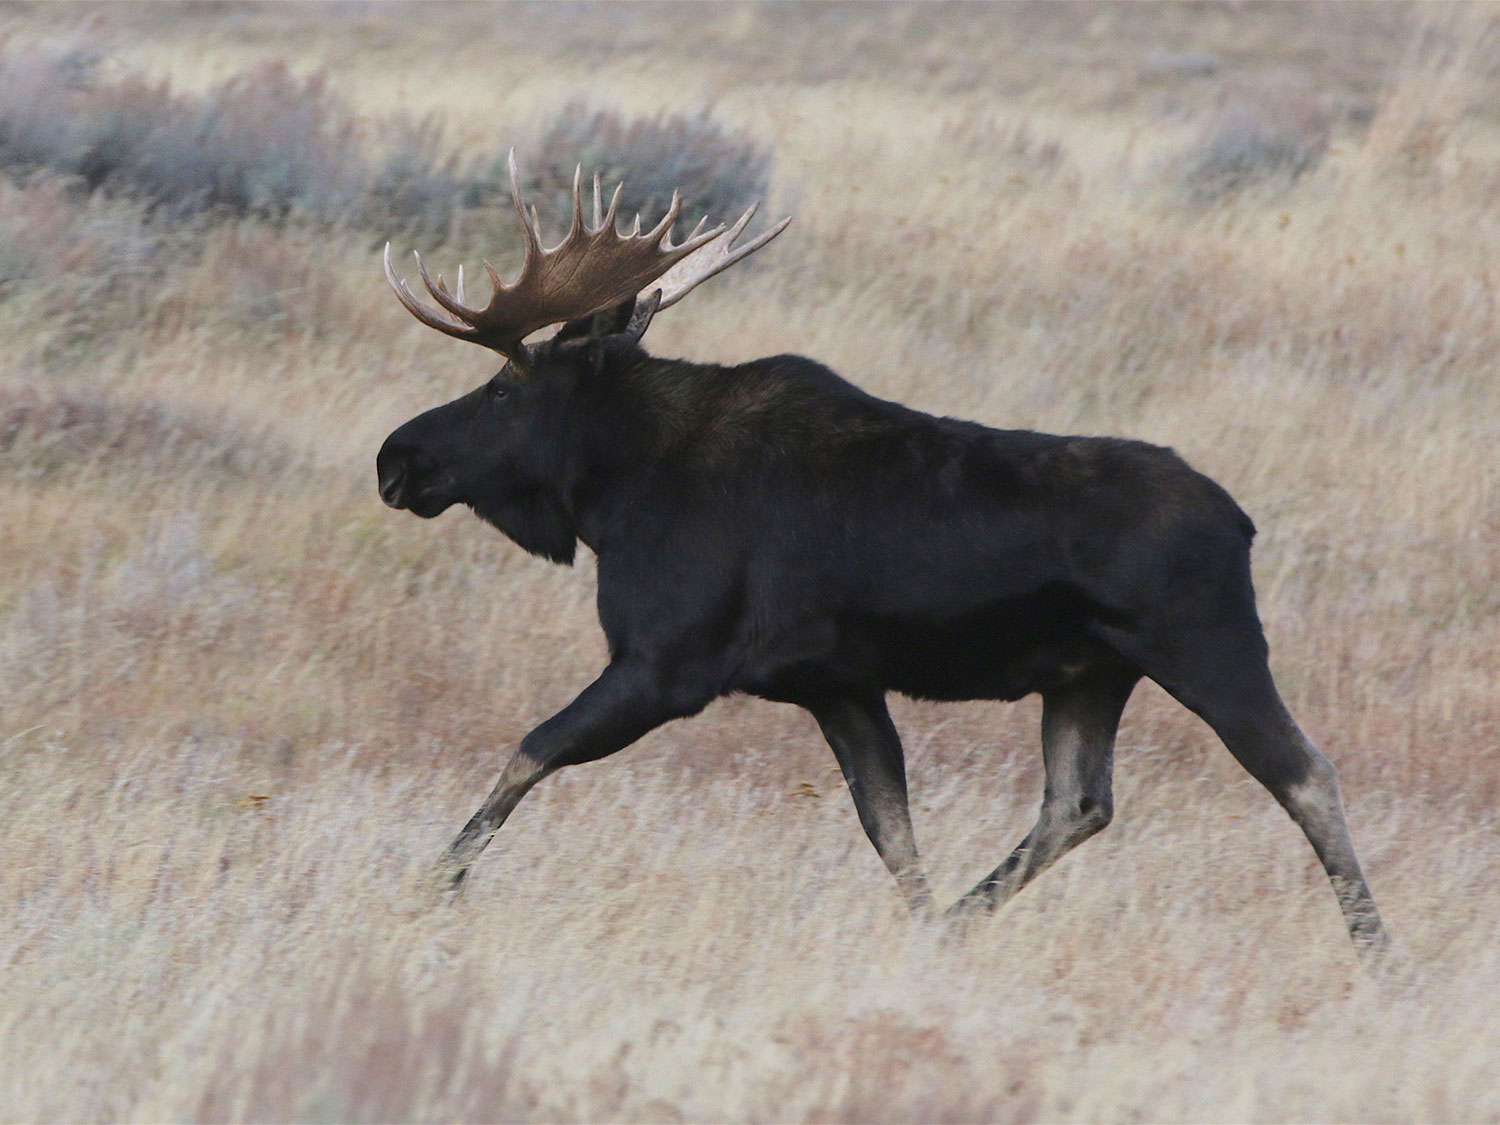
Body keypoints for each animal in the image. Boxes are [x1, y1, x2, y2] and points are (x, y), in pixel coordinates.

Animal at [381, 154, 1386, 954]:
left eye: (505, 387)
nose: (397, 457)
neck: (612, 491)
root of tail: (1242, 524)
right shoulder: (837, 683)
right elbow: (892, 828)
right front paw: (922, 927)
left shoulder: (668, 663)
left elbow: (528, 751)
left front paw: (431, 887)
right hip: (1090, 674)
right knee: (1077, 802)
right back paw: (962, 922)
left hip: (1206, 646)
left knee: (1307, 774)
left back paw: (1377, 951)